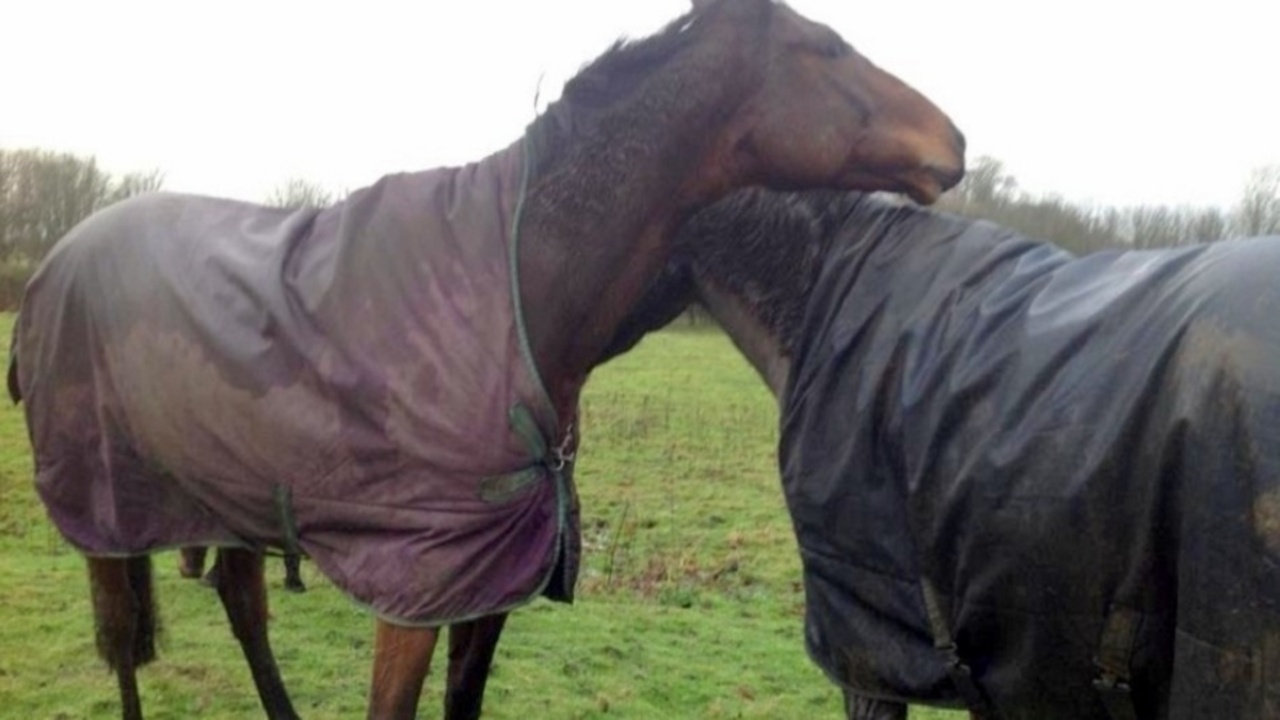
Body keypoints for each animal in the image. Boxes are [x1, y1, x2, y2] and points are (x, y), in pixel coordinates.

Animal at [2, 2, 962, 712]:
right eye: (826, 46)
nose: (952, 143)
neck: (518, 295)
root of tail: (53, 263)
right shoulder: (414, 588)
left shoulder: (488, 587)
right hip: (105, 503)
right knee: (122, 641)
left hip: (228, 494)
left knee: (242, 609)